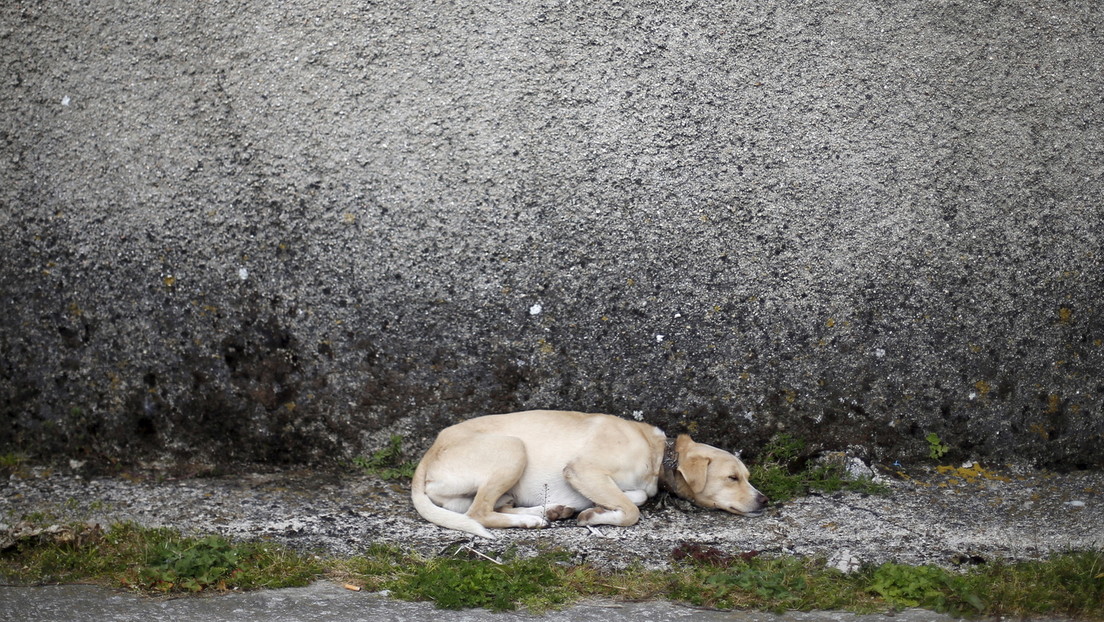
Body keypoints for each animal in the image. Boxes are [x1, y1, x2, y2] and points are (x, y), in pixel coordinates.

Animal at [410, 410, 763, 536]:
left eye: (746, 476)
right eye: (733, 478)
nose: (765, 501)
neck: (659, 454)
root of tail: (428, 453)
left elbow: (635, 497)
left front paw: (596, 508)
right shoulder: (581, 470)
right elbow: (632, 511)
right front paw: (596, 515)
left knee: (489, 506)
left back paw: (550, 510)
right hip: (514, 449)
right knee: (479, 512)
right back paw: (531, 520)